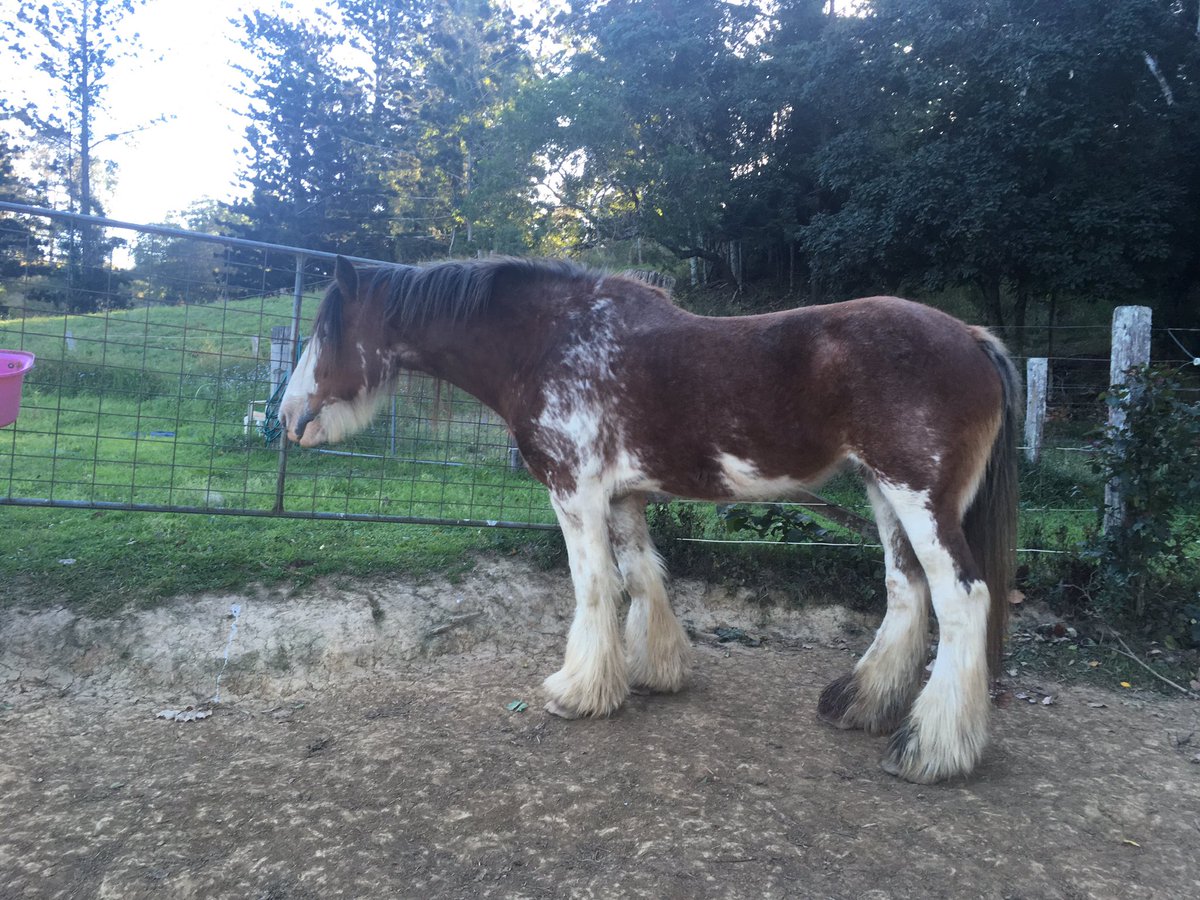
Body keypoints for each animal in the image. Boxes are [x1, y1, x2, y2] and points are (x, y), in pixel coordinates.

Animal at [279, 256, 1019, 784]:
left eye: (326, 329)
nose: (286, 417)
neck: (550, 342)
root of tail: (974, 337)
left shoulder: (574, 491)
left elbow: (594, 587)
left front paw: (578, 691)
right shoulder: (623, 497)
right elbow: (642, 578)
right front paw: (652, 671)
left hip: (917, 497)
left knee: (961, 599)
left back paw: (930, 749)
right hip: (881, 493)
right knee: (906, 590)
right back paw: (859, 705)